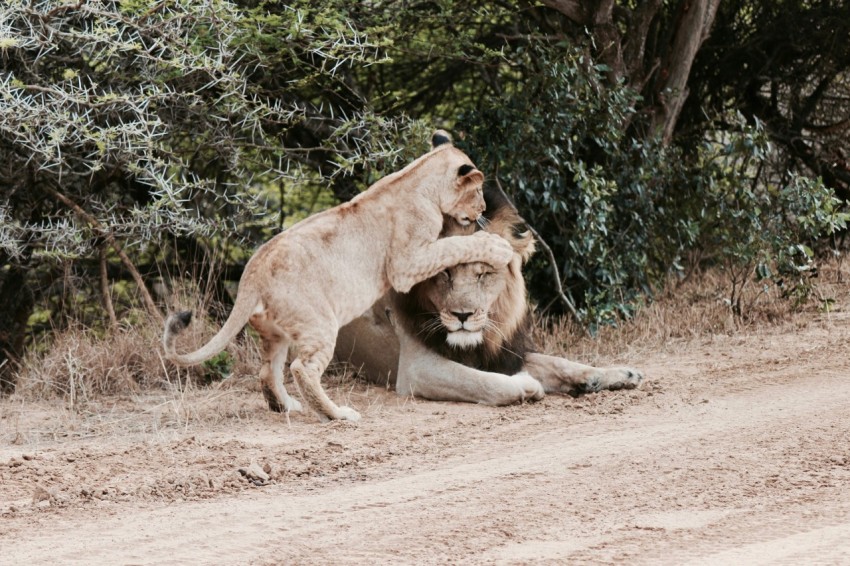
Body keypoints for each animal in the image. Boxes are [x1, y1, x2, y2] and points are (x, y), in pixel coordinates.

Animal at [162, 132, 512, 422]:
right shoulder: (407, 263)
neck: (417, 177)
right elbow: (453, 245)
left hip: (277, 333)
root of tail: (252, 272)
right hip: (318, 322)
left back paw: (286, 406)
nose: (483, 209)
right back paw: (336, 414)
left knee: (267, 371)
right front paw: (498, 246)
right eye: (477, 191)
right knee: (302, 369)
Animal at [334, 184, 640, 406]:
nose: (463, 315)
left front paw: (613, 375)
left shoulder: (504, 352)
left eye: (483, 274)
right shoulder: (416, 369)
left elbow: (557, 362)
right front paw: (527, 385)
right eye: (445, 274)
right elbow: (482, 381)